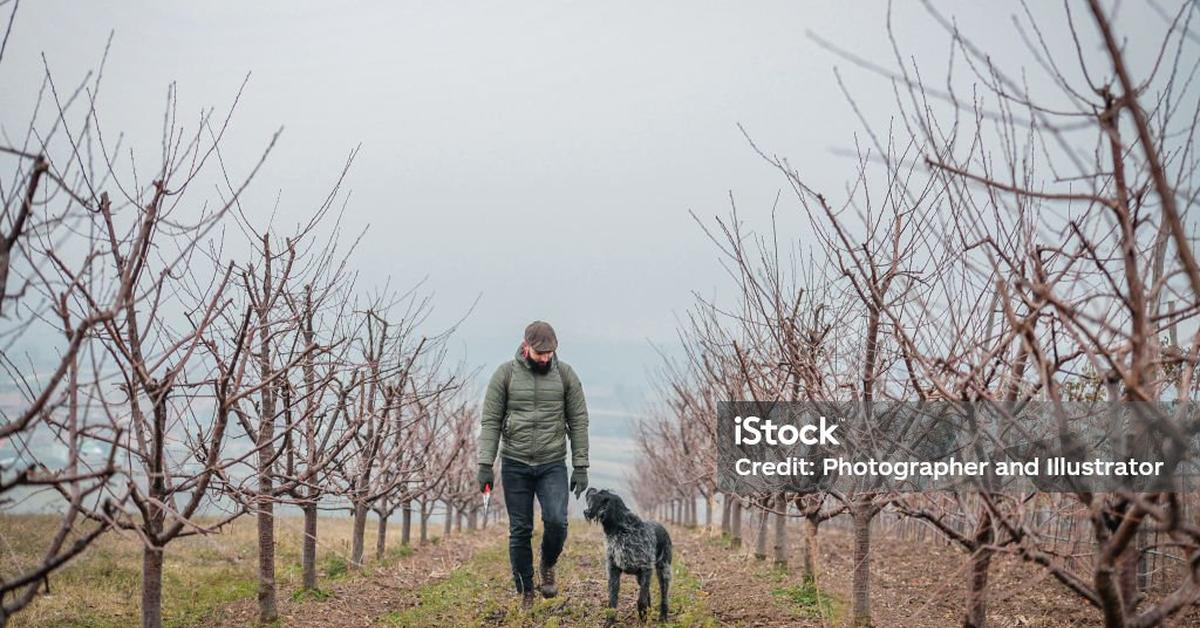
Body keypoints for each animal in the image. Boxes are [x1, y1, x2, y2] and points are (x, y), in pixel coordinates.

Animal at [583, 489, 672, 619]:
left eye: (597, 499)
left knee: (663, 596)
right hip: (640, 576)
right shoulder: (613, 570)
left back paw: (663, 617)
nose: (586, 511)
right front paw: (609, 621)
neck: (622, 530)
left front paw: (642, 611)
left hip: (664, 571)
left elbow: (641, 599)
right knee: (647, 593)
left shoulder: (646, 568)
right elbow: (612, 600)